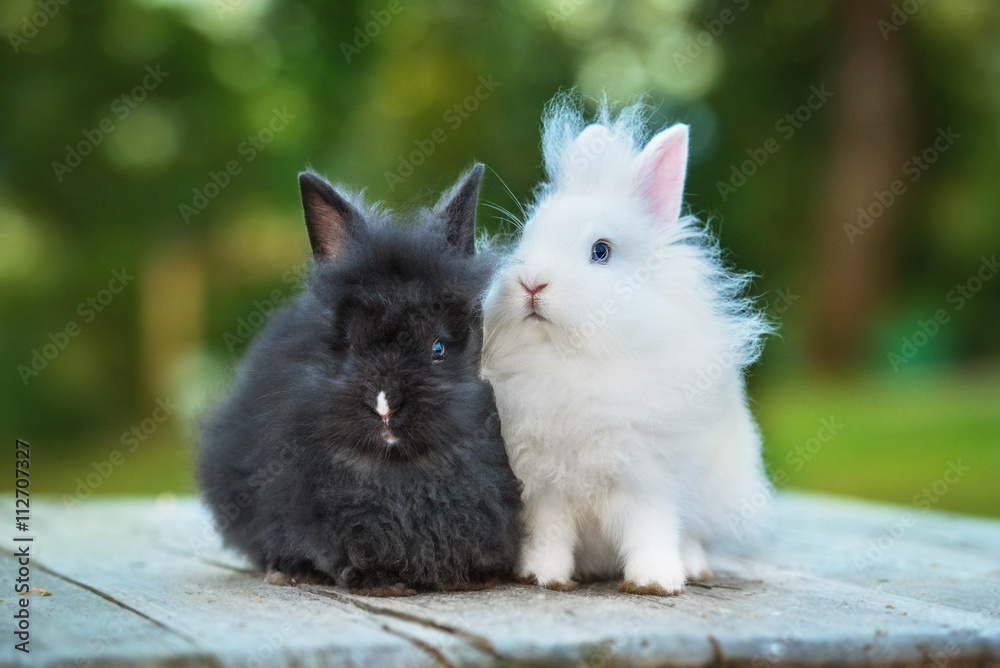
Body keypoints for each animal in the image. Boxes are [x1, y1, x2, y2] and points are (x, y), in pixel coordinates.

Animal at [197, 164, 522, 596]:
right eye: (350, 344)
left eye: (437, 348)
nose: (384, 406)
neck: (400, 470)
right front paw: (381, 583)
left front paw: (471, 579)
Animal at [480, 95, 772, 596]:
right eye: (526, 237)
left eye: (601, 251)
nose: (531, 283)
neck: (571, 359)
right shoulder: (544, 486)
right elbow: (549, 534)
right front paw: (541, 577)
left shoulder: (650, 480)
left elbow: (652, 530)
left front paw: (656, 582)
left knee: (692, 534)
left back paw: (694, 569)